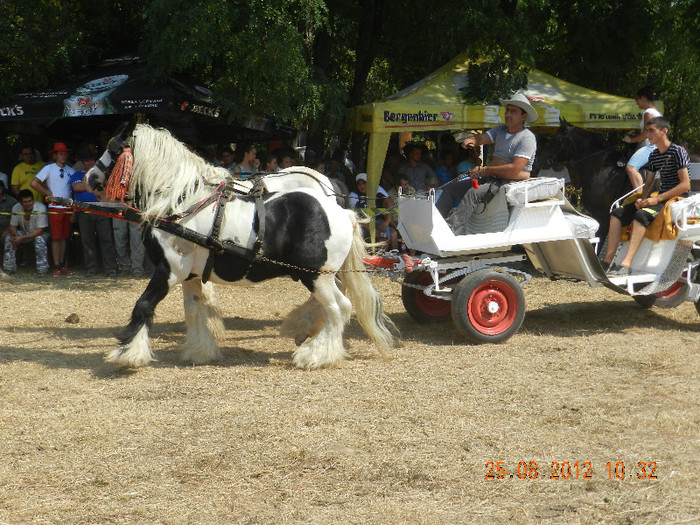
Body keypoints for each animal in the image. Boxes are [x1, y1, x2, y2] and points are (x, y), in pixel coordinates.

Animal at [85, 123, 396, 368]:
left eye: (112, 148)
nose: (90, 177)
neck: (180, 201)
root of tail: (342, 211)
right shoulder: (190, 275)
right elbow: (195, 310)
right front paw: (200, 351)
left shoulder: (168, 269)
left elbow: (144, 305)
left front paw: (128, 354)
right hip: (319, 275)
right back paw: (302, 329)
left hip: (317, 276)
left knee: (339, 308)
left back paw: (316, 356)